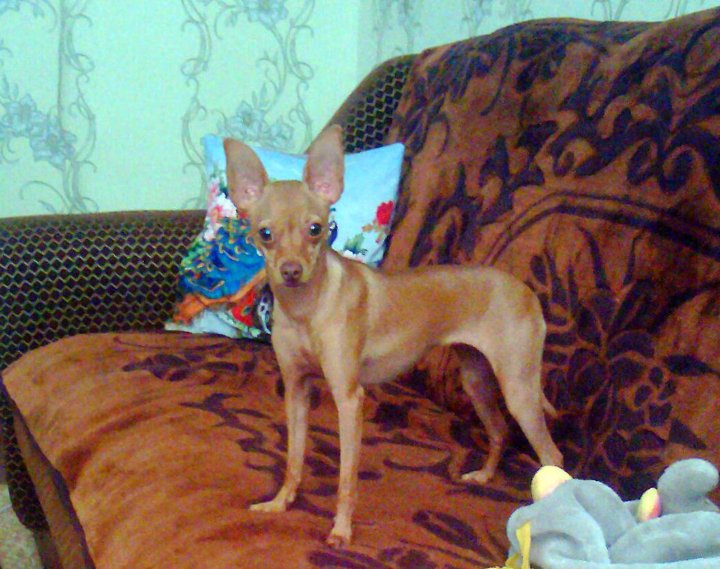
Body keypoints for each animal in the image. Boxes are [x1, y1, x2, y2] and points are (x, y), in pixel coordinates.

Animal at [224, 125, 563, 548]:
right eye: (265, 234)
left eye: (315, 229)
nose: (291, 271)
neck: (306, 308)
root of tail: (527, 291)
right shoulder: (296, 390)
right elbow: (294, 458)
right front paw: (280, 502)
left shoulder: (349, 399)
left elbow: (346, 477)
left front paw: (341, 530)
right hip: (478, 381)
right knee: (500, 431)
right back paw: (484, 476)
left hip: (519, 390)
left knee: (552, 456)